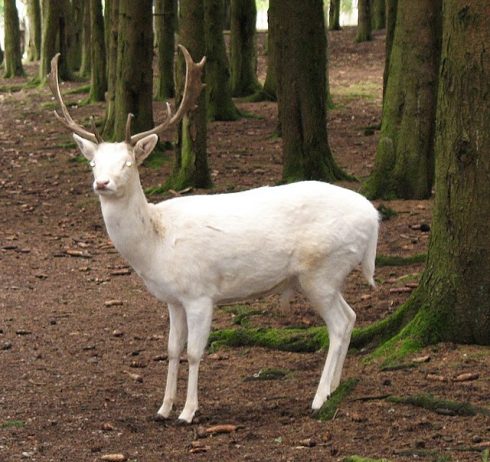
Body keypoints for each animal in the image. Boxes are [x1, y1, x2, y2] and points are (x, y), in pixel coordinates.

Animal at [47, 46, 378, 422]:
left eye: (128, 163)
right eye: (93, 163)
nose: (102, 183)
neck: (156, 245)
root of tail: (374, 217)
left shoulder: (200, 293)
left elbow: (194, 352)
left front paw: (188, 411)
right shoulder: (173, 299)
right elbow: (171, 348)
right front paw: (163, 408)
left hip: (321, 270)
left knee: (337, 324)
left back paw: (319, 398)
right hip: (330, 275)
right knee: (351, 317)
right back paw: (334, 387)